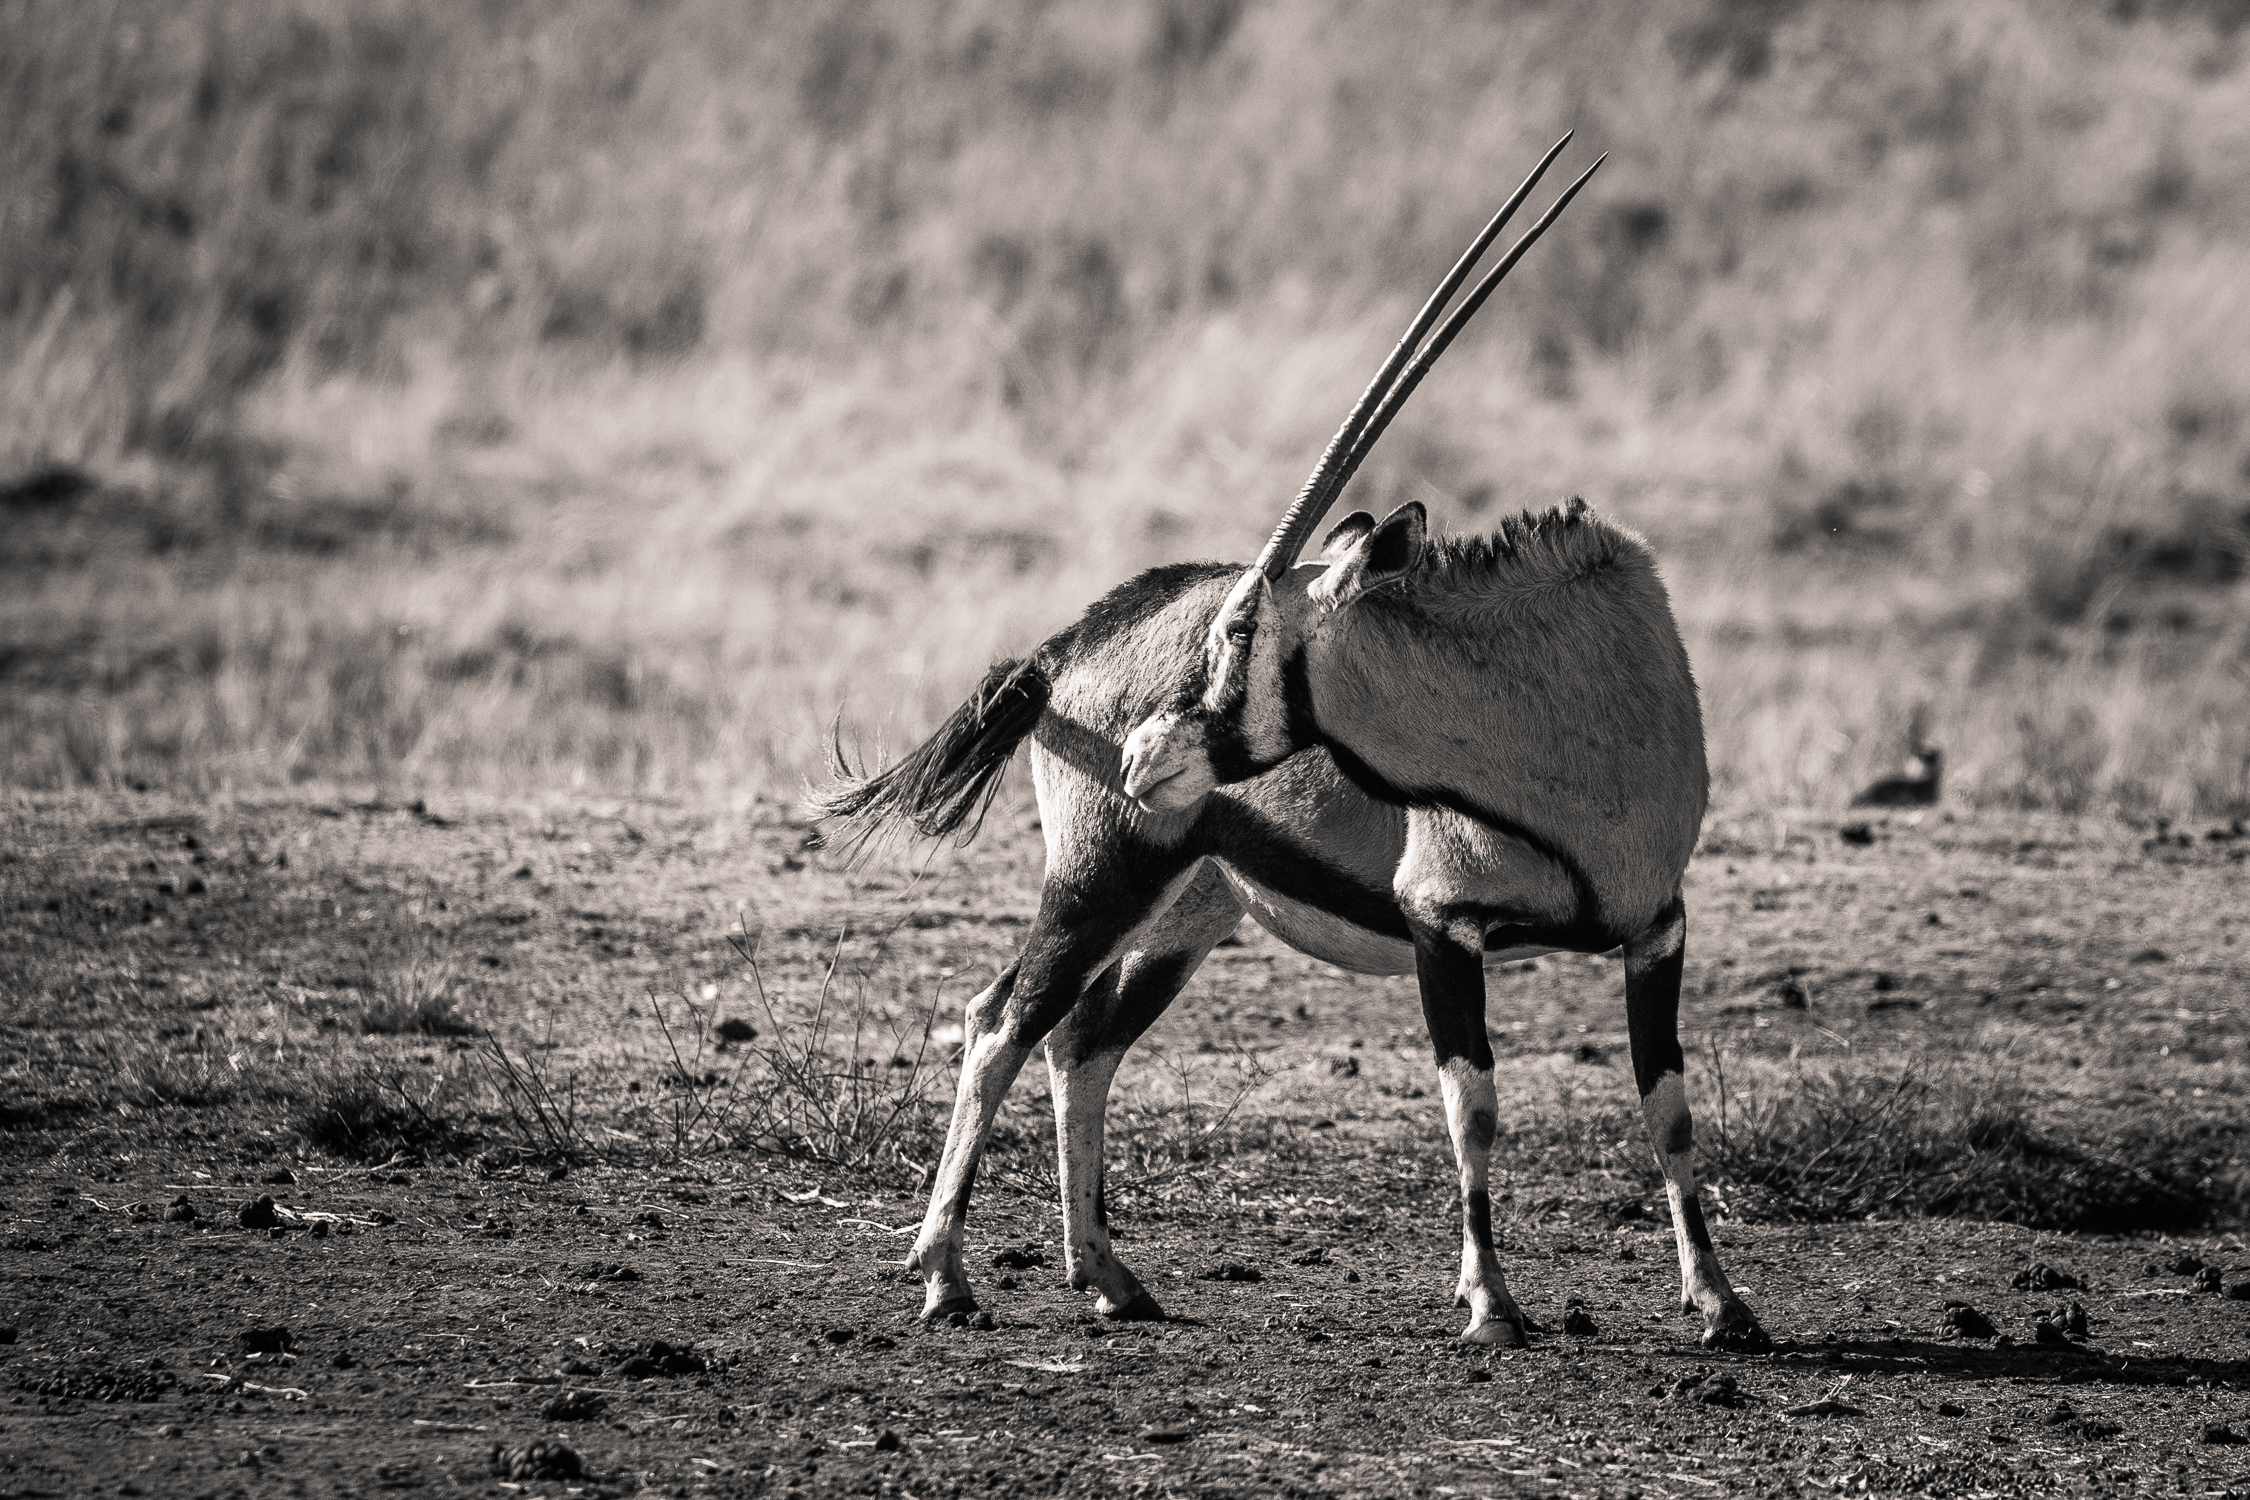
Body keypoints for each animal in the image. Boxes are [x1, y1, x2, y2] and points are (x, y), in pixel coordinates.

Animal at [819, 140, 1764, 1358]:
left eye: (1241, 631)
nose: (1144, 757)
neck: (1570, 707)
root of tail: (1068, 644)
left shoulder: (1658, 929)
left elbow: (1670, 1111)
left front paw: (1722, 1301)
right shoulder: (1441, 925)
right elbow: (1474, 1105)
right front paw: (1490, 1304)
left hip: (1190, 908)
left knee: (1082, 1043)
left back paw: (1109, 1275)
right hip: (1101, 881)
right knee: (1001, 1025)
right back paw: (944, 1276)